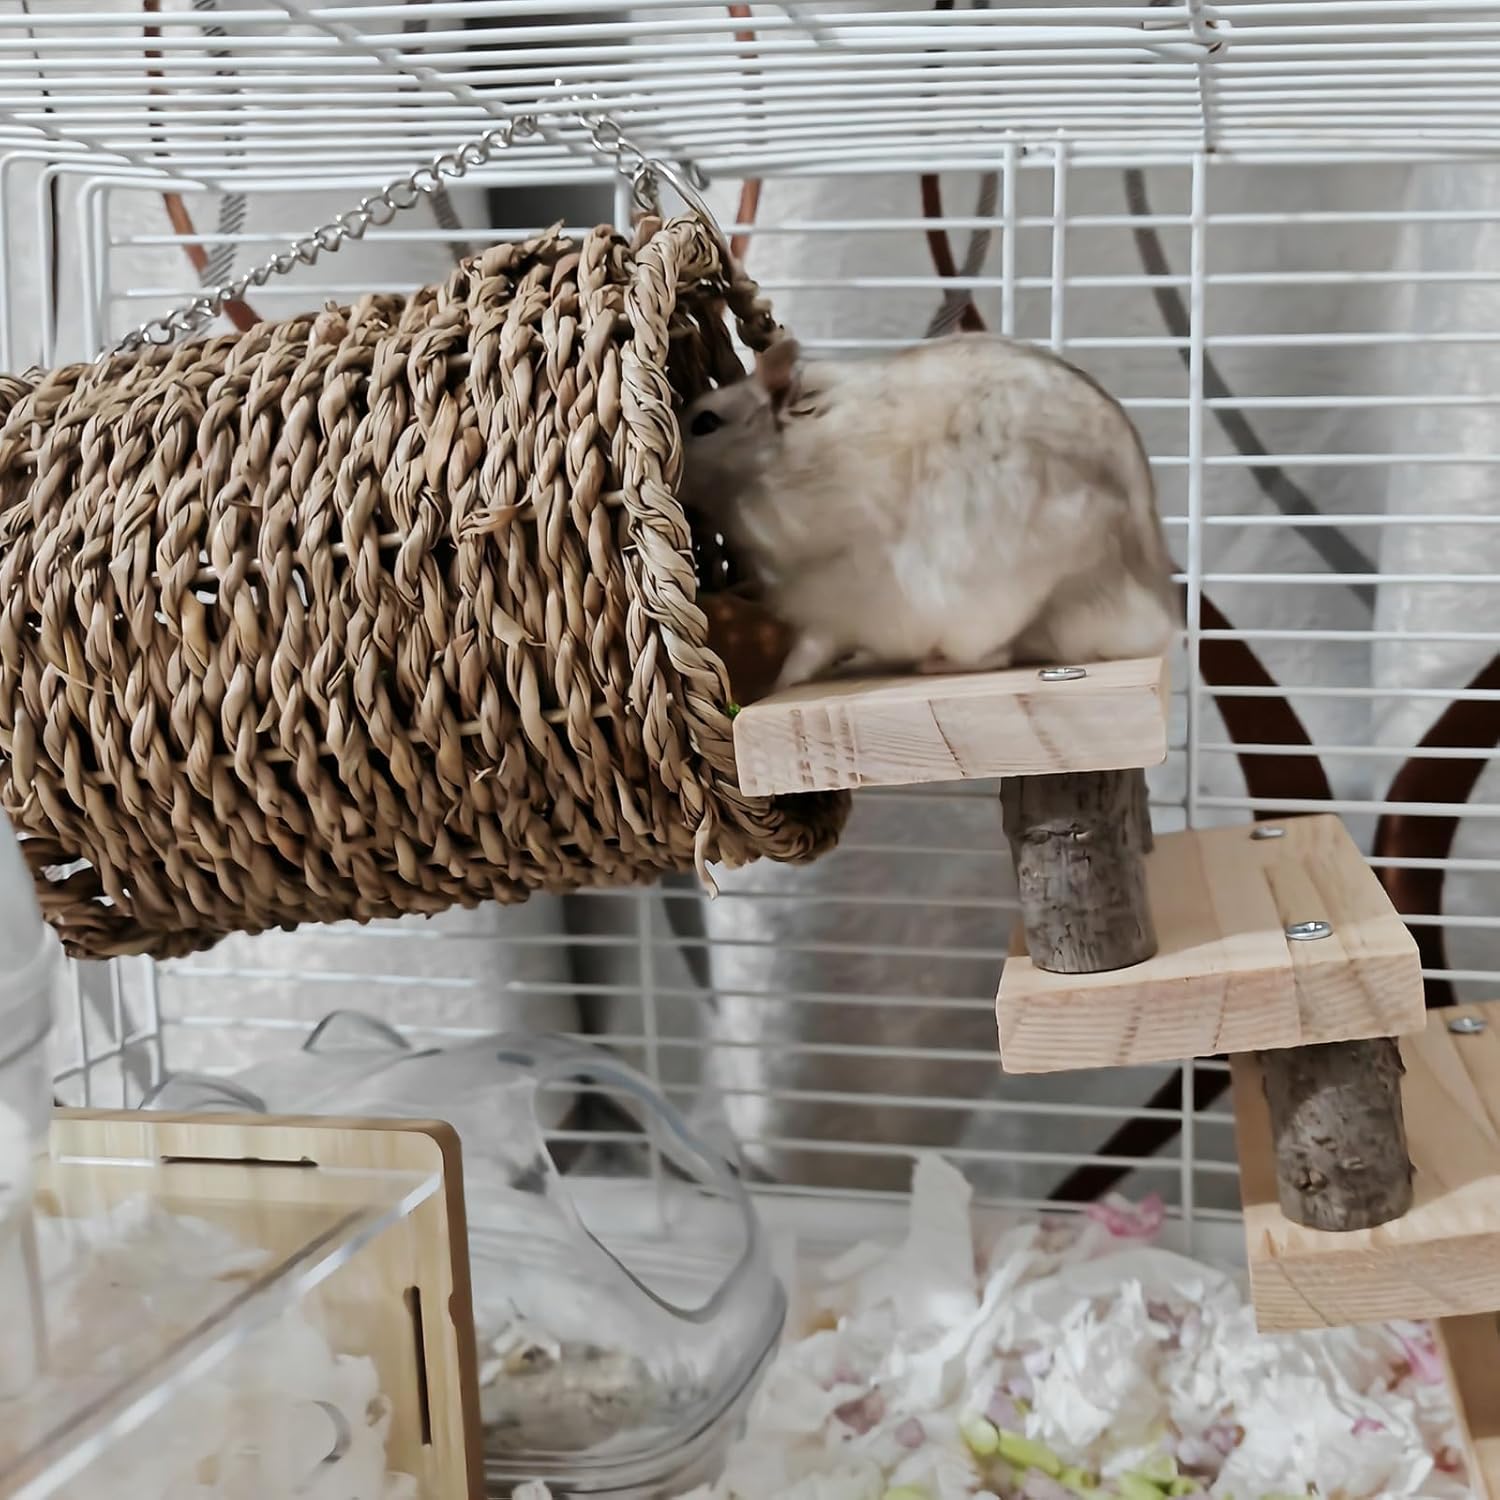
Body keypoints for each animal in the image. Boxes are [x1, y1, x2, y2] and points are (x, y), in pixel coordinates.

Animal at [677, 333, 1179, 691]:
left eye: (705, 421)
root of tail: (1157, 618)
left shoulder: (832, 589)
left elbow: (807, 648)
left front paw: (779, 685)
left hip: (989, 603)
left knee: (992, 655)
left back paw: (929, 665)